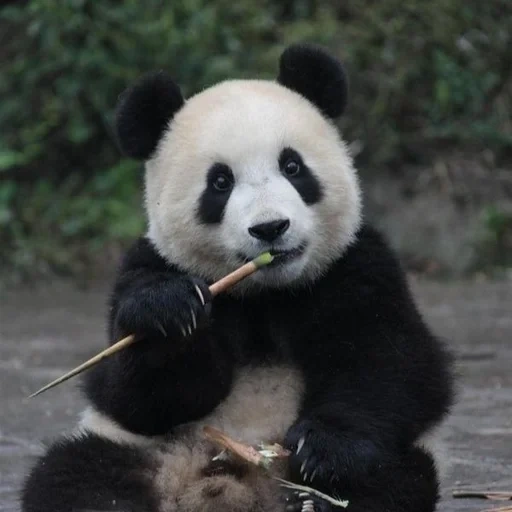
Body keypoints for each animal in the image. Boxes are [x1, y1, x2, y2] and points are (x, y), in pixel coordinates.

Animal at [20, 45, 454, 512]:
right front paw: (169, 313)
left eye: (293, 166)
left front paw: (325, 450)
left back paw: (317, 499)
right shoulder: (145, 266)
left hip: (393, 459)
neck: (264, 293)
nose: (270, 228)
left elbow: (390, 360)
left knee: (395, 478)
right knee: (74, 473)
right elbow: (137, 398)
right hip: (137, 451)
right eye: (220, 182)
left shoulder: (355, 265)